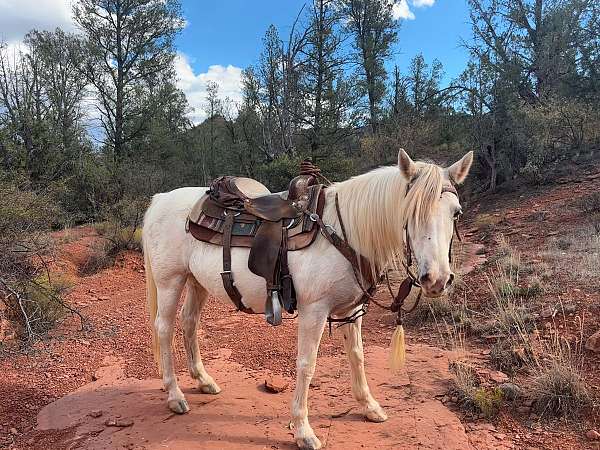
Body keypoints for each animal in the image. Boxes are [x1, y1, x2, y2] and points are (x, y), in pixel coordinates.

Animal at [142, 149, 474, 448]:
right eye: (409, 211)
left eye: (456, 212)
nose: (437, 279)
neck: (343, 232)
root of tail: (161, 199)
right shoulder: (314, 311)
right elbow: (306, 364)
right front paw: (303, 430)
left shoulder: (353, 309)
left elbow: (357, 356)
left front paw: (369, 407)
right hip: (170, 281)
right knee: (164, 329)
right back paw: (175, 395)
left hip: (196, 282)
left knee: (189, 323)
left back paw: (203, 380)